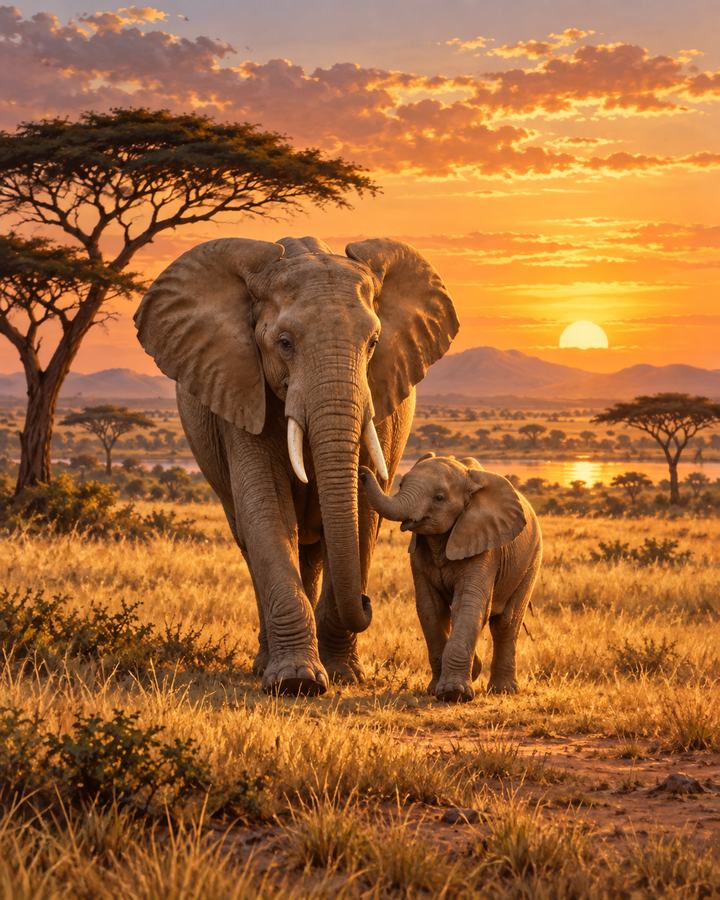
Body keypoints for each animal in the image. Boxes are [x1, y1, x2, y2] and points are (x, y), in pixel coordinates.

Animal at [134, 236, 458, 695]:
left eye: (373, 343)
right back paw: (266, 665)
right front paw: (296, 682)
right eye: (284, 343)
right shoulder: (240, 389)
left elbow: (361, 517)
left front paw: (341, 675)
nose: (367, 601)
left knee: (318, 547)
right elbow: (266, 508)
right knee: (251, 540)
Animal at [360, 453, 541, 701]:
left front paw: (454, 693)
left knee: (506, 622)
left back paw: (503, 690)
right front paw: (436, 689)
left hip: (532, 559)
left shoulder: (484, 545)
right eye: (401, 485)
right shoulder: (418, 554)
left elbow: (468, 604)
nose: (362, 471)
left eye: (439, 498)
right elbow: (430, 608)